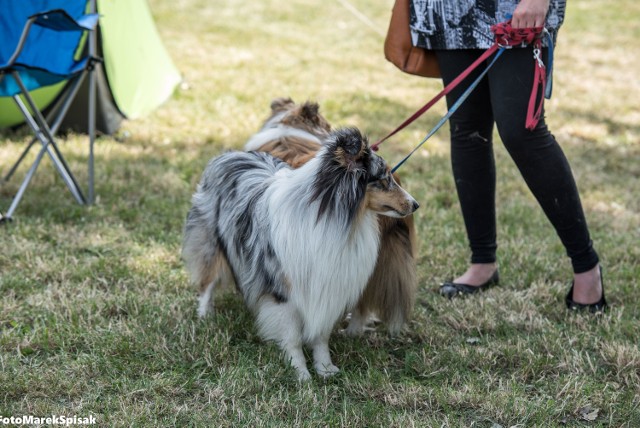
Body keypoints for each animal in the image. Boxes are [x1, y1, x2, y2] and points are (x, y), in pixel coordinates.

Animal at [182, 125, 418, 380]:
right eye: (384, 179)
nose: (415, 205)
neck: (333, 218)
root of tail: (227, 154)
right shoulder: (284, 292)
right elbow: (293, 337)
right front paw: (300, 373)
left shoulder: (327, 287)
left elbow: (321, 335)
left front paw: (325, 368)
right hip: (210, 243)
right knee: (207, 281)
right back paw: (205, 315)